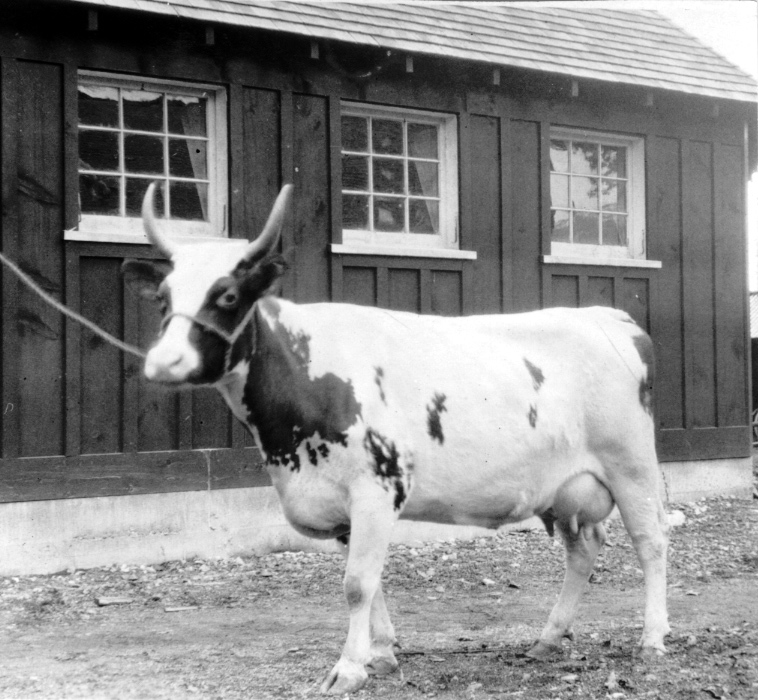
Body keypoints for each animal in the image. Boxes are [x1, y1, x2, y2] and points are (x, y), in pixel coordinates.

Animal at [124, 183, 676, 696]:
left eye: (227, 295)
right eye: (163, 299)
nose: (163, 362)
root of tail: (609, 317)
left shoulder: (376, 486)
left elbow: (356, 584)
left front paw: (348, 668)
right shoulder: (344, 505)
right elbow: (372, 583)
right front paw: (383, 653)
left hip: (630, 466)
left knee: (650, 542)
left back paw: (652, 639)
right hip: (566, 487)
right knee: (584, 548)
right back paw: (548, 637)